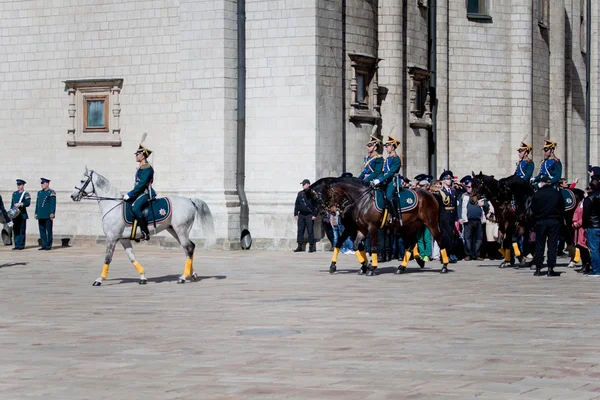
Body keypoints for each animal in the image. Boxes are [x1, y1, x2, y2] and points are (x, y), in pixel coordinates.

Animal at [71, 167, 214, 286]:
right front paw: (143, 277)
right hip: (174, 230)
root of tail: (189, 200)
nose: (72, 196)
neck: (113, 206)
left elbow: (107, 258)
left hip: (181, 230)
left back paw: (183, 277)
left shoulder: (111, 238)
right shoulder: (123, 239)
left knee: (188, 248)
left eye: (82, 180)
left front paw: (99, 280)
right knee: (189, 248)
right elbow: (132, 258)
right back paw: (192, 274)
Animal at [310, 177, 450, 276]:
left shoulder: (370, 228)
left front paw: (371, 268)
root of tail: (431, 195)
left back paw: (444, 266)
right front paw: (365, 266)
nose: (325, 211)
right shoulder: (360, 229)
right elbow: (355, 246)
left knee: (440, 240)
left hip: (430, 223)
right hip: (410, 226)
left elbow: (372, 247)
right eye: (316, 196)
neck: (362, 201)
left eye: (326, 194)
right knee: (410, 244)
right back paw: (402, 267)